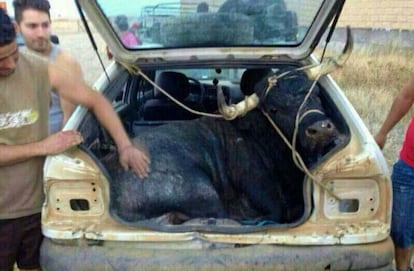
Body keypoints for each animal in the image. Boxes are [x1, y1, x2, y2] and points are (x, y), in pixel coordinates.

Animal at [102, 30, 350, 228]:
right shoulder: (259, 188)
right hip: (205, 193)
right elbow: (276, 211)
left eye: (315, 93)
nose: (320, 129)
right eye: (275, 109)